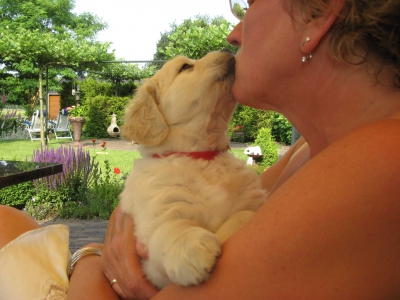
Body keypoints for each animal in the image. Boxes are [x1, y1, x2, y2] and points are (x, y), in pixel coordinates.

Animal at [120, 51, 268, 288]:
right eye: (185, 67)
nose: (228, 50)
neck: (201, 156)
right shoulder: (153, 223)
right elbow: (171, 225)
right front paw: (190, 247)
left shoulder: (251, 199)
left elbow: (244, 213)